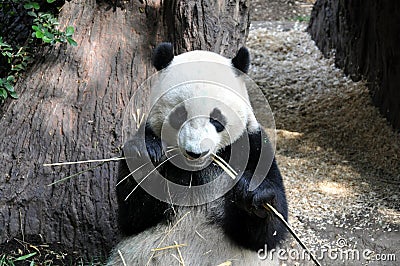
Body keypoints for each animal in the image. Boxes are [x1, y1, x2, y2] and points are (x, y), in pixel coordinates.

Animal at [106, 42, 288, 264]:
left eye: (217, 118)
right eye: (179, 115)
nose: (195, 153)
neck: (196, 170)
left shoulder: (253, 146)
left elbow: (267, 235)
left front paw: (253, 193)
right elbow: (133, 217)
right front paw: (145, 155)